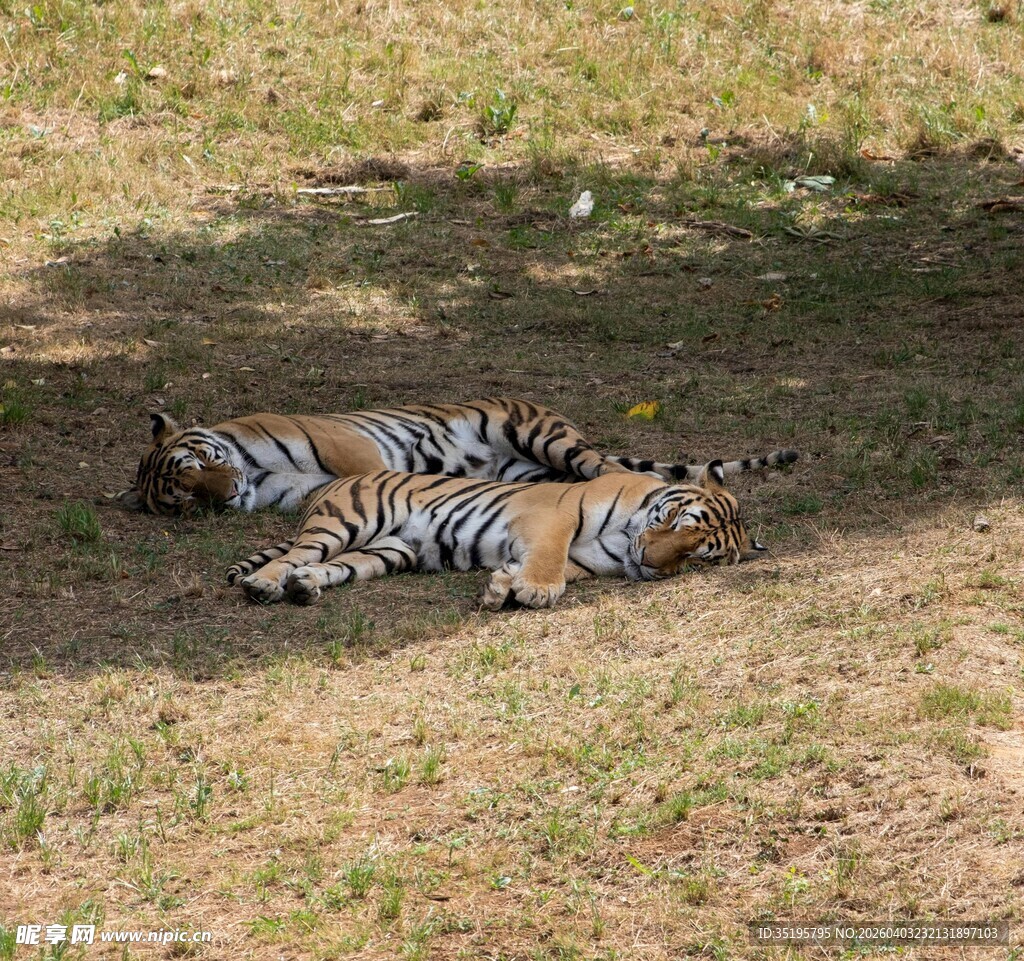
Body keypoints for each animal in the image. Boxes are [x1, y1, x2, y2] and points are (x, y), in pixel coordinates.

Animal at [227, 460, 765, 610]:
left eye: (697, 557)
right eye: (675, 522)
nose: (652, 564)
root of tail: (336, 482)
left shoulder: (586, 561)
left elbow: (546, 566)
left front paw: (501, 587)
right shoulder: (552, 516)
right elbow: (549, 558)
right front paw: (535, 591)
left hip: (387, 552)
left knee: (327, 565)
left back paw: (305, 586)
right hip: (347, 521)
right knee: (293, 554)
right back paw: (265, 585)